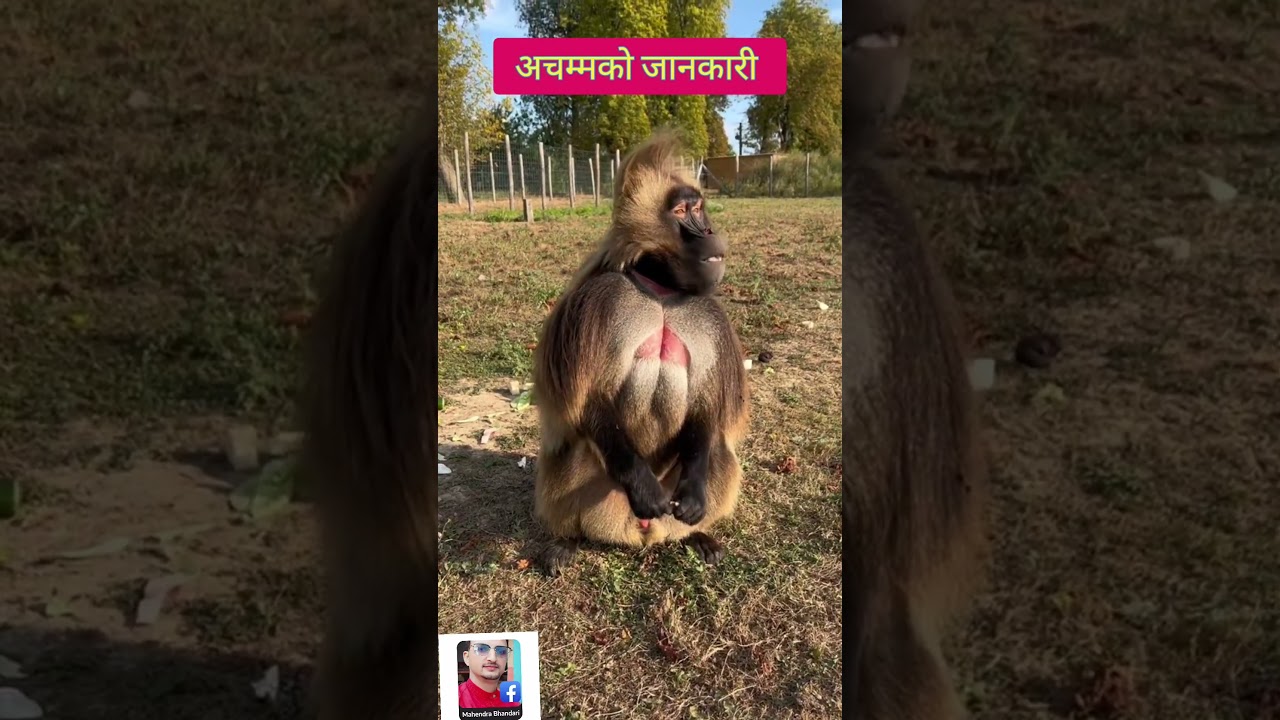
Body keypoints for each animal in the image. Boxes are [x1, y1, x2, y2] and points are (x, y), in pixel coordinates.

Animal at [530, 131, 750, 577]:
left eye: (698, 207)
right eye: (682, 211)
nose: (710, 231)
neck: (661, 293)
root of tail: (642, 532)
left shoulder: (710, 320)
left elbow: (706, 407)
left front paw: (697, 499)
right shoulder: (598, 302)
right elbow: (587, 402)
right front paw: (642, 487)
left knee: (718, 448)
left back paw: (698, 536)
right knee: (575, 450)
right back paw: (567, 539)